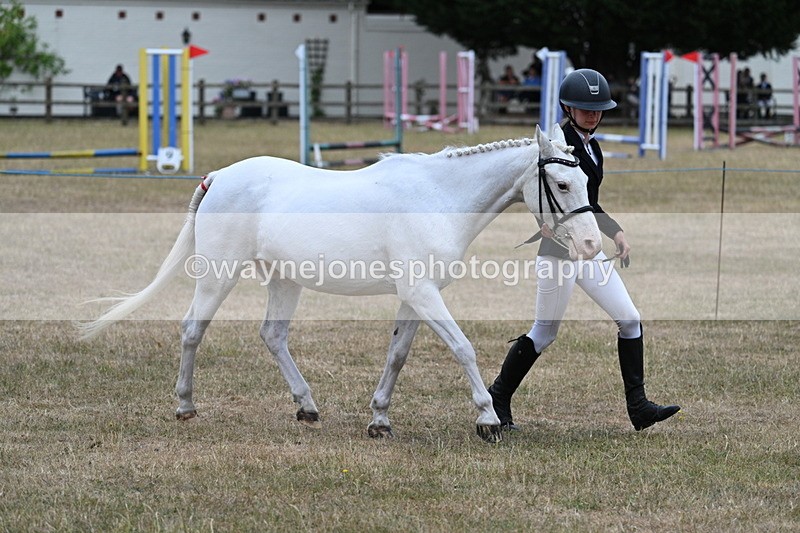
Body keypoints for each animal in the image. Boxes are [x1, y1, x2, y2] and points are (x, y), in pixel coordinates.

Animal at [79, 124, 602, 443]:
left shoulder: (415, 297)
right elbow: (464, 348)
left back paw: (307, 408)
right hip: (217, 274)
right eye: (560, 185)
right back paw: (186, 406)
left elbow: (397, 355)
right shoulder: (423, 294)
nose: (592, 244)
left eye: (583, 180)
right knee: (192, 330)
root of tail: (219, 177)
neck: (438, 197)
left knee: (273, 336)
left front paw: (380, 419)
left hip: (283, 280)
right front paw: (488, 419)